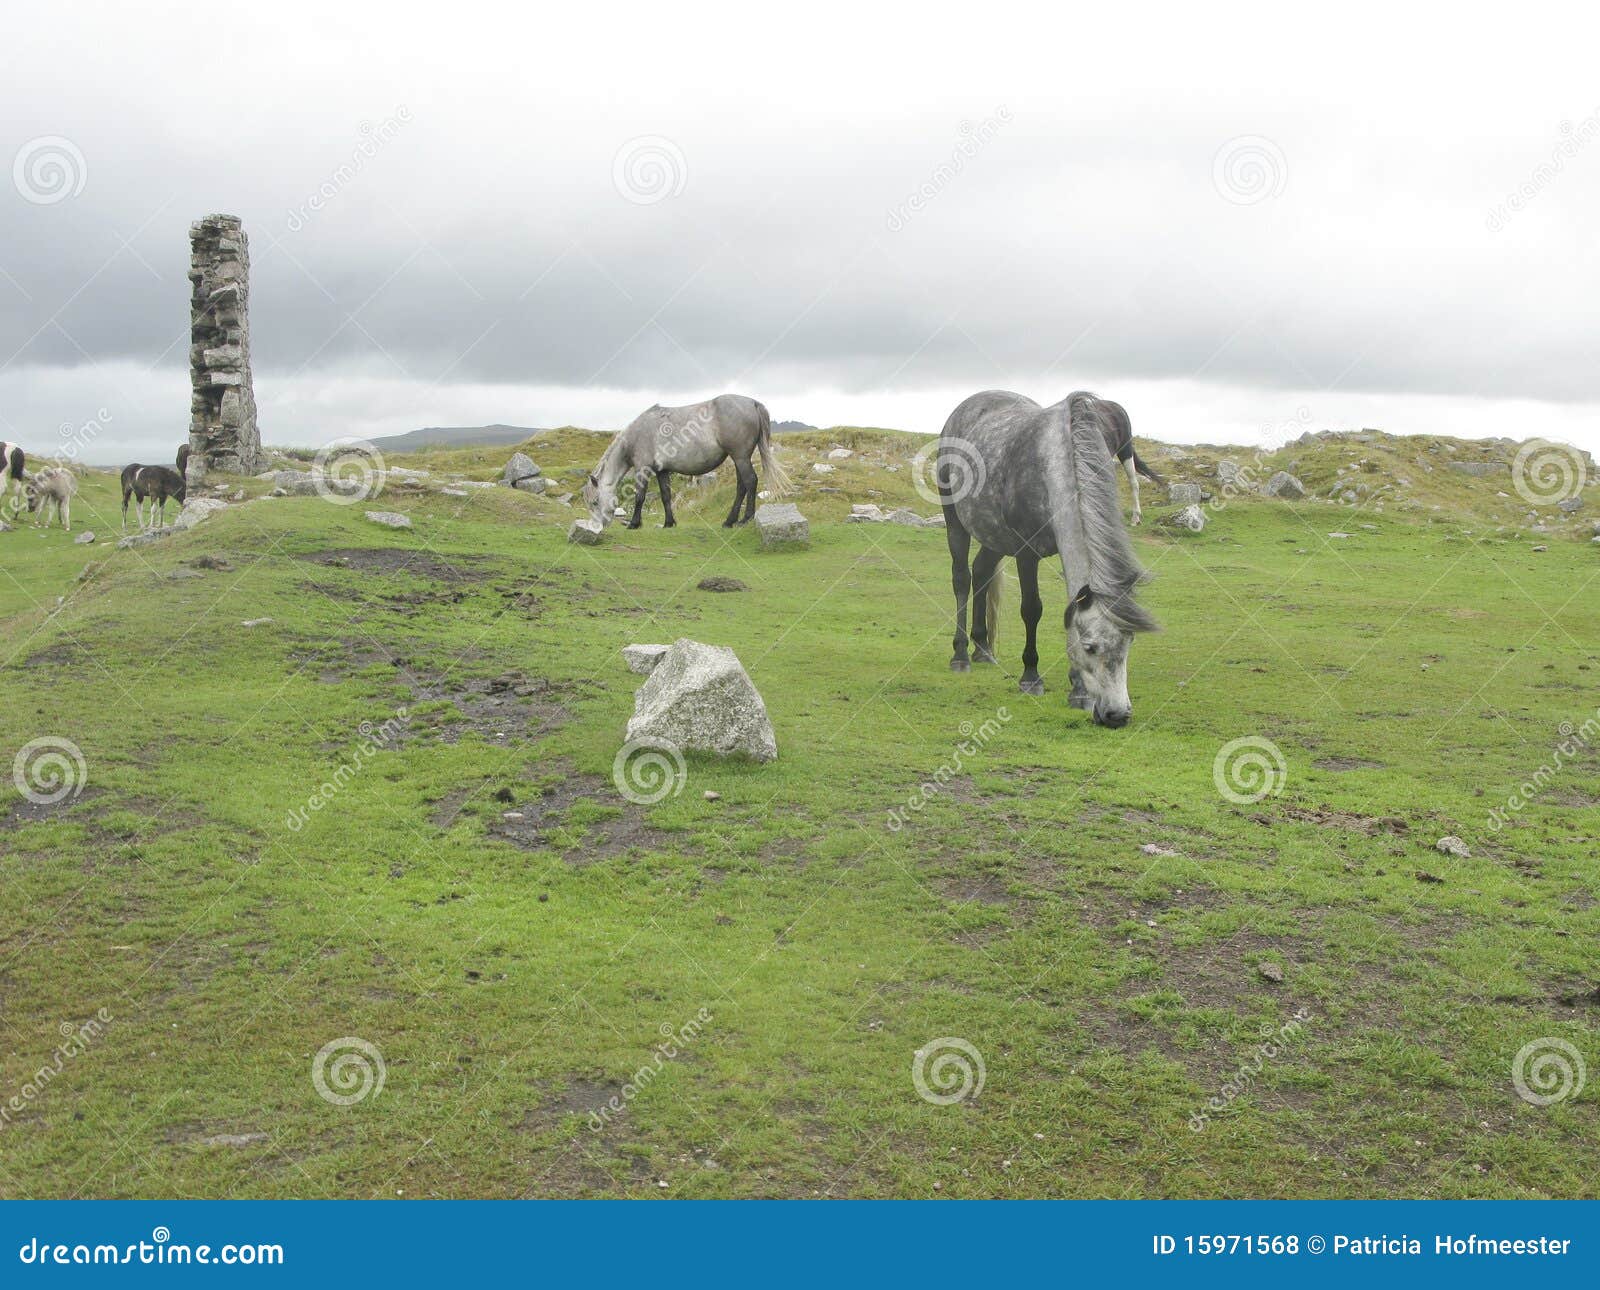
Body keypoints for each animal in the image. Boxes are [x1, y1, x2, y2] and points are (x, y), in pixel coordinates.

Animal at [584, 394, 791, 530]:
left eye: (595, 502)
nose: (599, 526)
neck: (635, 435)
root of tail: (753, 403)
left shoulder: (643, 468)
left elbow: (639, 496)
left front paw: (634, 523)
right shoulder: (662, 471)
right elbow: (666, 496)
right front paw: (669, 522)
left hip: (740, 457)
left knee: (750, 482)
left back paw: (745, 519)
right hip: (740, 459)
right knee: (742, 486)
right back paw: (729, 521)